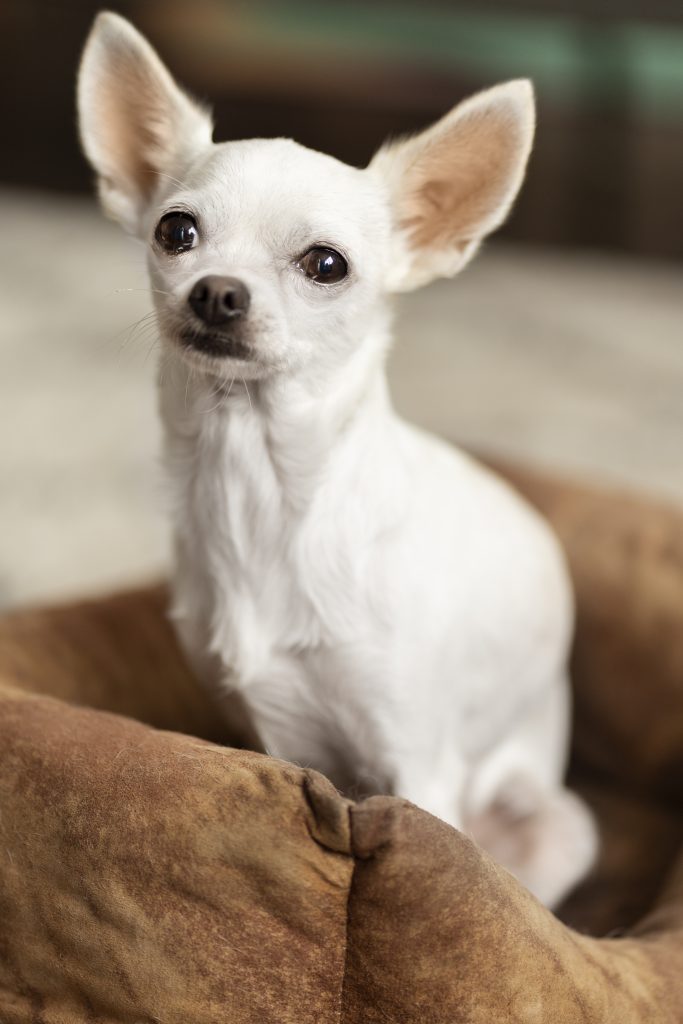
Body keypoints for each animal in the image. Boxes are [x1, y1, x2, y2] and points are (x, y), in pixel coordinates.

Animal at [77, 9, 593, 905]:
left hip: (558, 823)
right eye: (176, 232)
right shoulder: (276, 740)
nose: (217, 291)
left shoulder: (417, 766)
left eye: (325, 264)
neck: (260, 486)